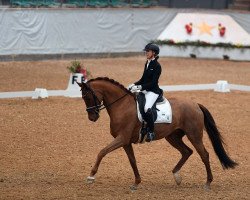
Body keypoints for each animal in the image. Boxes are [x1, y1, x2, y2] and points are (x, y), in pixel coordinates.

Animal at [77, 77, 237, 191]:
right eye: (84, 98)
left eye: (88, 97)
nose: (92, 117)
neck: (122, 106)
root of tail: (196, 104)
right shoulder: (126, 141)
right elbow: (132, 160)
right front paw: (136, 183)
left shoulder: (122, 139)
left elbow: (102, 152)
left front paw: (91, 176)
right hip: (172, 136)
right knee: (187, 151)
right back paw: (177, 176)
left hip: (194, 135)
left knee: (204, 155)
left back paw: (208, 183)